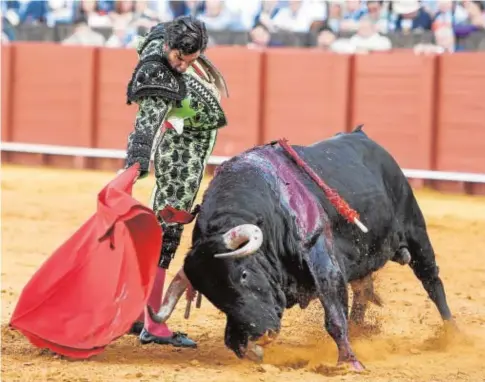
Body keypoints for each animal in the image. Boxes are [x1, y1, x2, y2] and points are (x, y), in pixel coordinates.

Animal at [148, 127, 454, 372]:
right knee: (363, 291)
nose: (261, 333)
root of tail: (363, 136)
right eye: (212, 296)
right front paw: (254, 351)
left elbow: (334, 319)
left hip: (416, 231)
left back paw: (453, 334)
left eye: (244, 274)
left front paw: (350, 363)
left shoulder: (324, 263)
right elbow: (232, 340)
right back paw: (360, 331)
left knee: (431, 281)